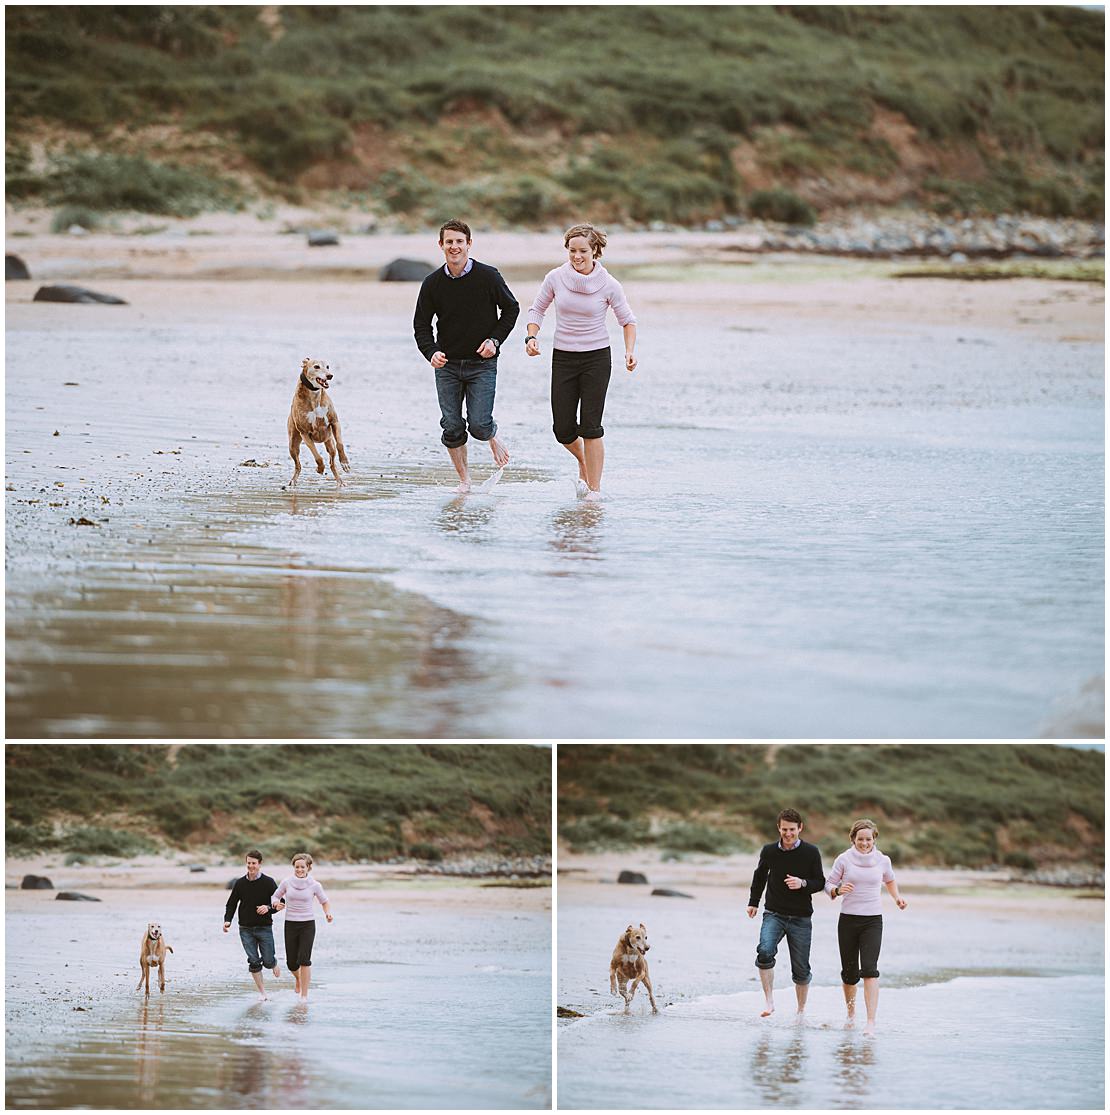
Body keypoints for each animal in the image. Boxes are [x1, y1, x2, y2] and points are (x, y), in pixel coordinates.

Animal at [285, 356, 352, 488]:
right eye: (316, 366)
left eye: (328, 366)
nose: (330, 375)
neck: (314, 395)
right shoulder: (305, 433)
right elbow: (317, 455)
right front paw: (320, 468)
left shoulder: (334, 422)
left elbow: (340, 444)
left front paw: (345, 462)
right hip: (293, 445)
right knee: (298, 465)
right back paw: (293, 481)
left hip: (329, 443)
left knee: (332, 462)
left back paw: (340, 481)